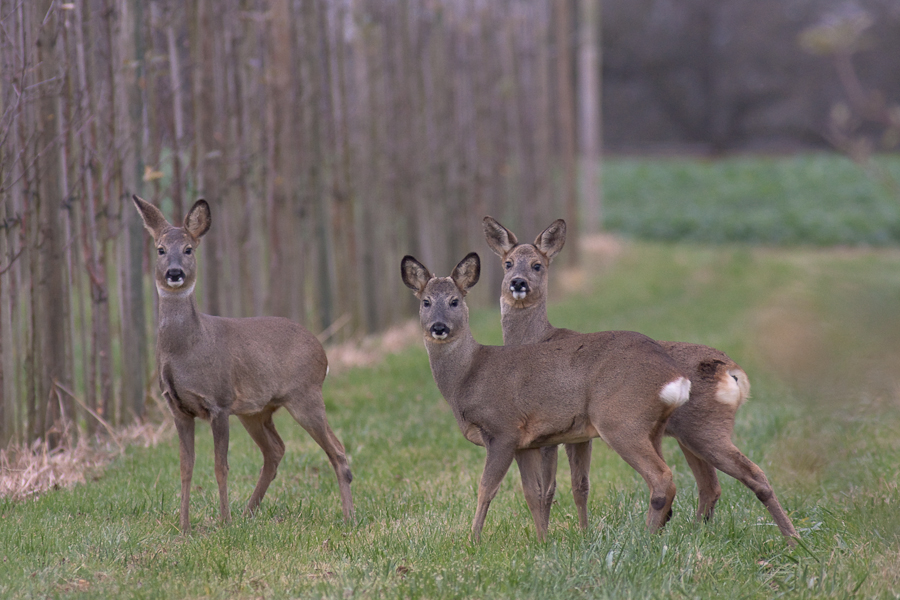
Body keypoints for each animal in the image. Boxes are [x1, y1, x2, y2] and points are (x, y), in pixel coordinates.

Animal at [132, 196, 354, 528]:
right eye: (160, 248)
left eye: (189, 249)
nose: (174, 272)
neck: (187, 350)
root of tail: (322, 352)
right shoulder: (178, 408)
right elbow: (186, 467)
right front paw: (184, 526)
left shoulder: (219, 401)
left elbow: (220, 466)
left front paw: (223, 522)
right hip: (257, 410)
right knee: (276, 450)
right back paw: (248, 513)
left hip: (306, 395)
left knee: (337, 450)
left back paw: (348, 518)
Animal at [400, 251, 688, 540]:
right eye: (426, 302)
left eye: (454, 301)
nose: (439, 327)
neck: (468, 376)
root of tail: (675, 376)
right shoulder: (524, 442)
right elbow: (532, 493)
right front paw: (541, 540)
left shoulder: (503, 428)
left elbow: (486, 489)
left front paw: (474, 540)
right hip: (652, 428)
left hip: (619, 418)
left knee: (662, 477)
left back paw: (646, 536)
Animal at [486, 217, 800, 544]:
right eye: (508, 263)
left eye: (537, 265)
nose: (517, 283)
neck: (537, 338)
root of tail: (733, 371)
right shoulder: (580, 436)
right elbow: (580, 485)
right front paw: (582, 534)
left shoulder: (549, 430)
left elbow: (548, 489)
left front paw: (546, 539)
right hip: (687, 435)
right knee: (710, 486)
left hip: (698, 428)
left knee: (745, 474)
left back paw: (791, 538)